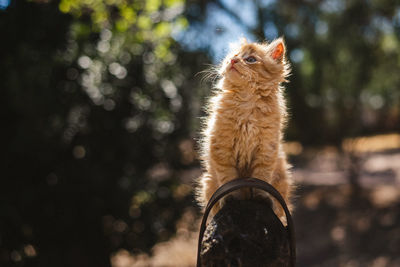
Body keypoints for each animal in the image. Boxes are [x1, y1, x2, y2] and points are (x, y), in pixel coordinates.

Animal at [197, 38, 294, 220]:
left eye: (250, 59)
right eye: (234, 55)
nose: (233, 60)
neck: (246, 101)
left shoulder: (266, 151)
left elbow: (260, 177)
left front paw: (262, 197)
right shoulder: (221, 147)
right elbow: (228, 178)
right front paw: (231, 198)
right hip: (207, 182)